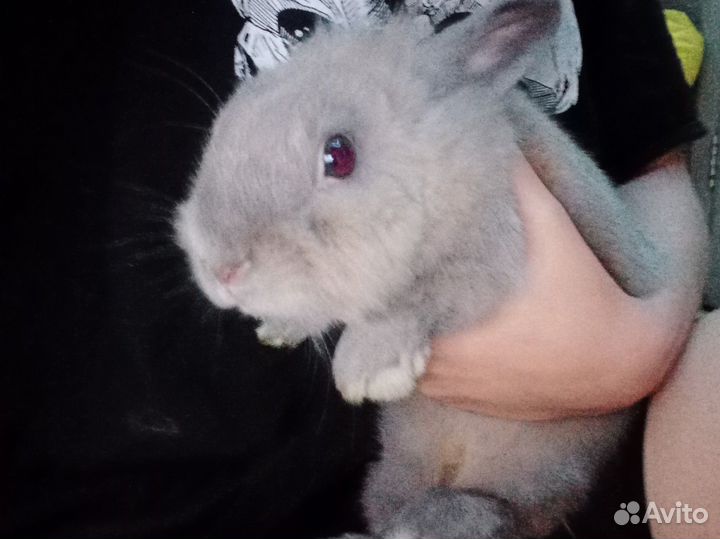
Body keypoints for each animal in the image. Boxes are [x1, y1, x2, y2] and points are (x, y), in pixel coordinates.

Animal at [174, 0, 663, 537]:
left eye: (338, 154)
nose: (220, 269)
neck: (440, 159)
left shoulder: (491, 253)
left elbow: (421, 293)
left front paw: (368, 369)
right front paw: (279, 327)